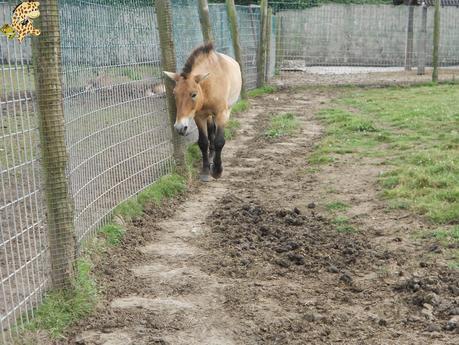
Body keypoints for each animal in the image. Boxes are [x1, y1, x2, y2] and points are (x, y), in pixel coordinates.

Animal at [164, 43, 243, 181]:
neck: (210, 85)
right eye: (174, 93)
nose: (180, 127)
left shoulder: (221, 115)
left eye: (193, 94)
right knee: (211, 131)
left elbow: (219, 141)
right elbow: (203, 142)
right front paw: (206, 170)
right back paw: (211, 155)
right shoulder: (199, 117)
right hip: (209, 116)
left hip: (226, 111)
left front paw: (217, 171)